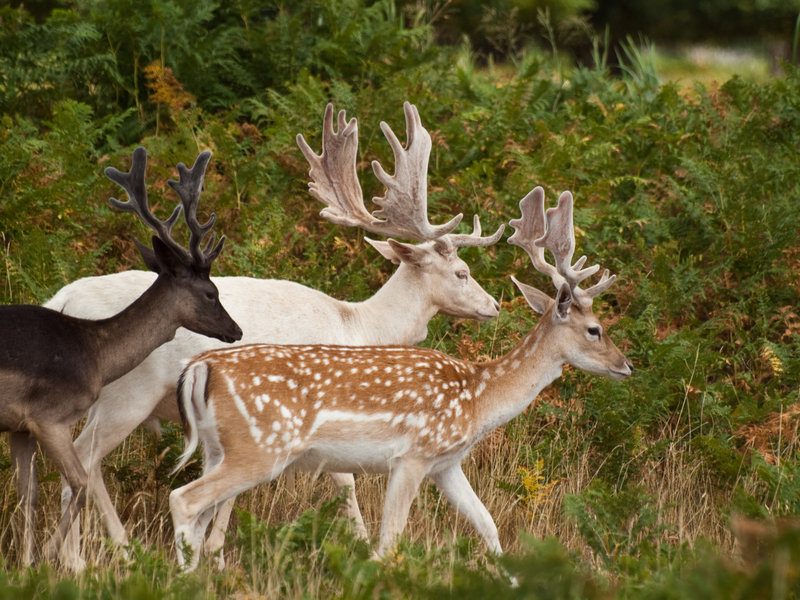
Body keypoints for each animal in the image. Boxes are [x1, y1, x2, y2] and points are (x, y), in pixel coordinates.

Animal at [0, 147, 242, 567]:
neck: (96, 353)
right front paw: (51, 556)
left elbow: (27, 495)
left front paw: (28, 563)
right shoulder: (48, 417)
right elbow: (79, 483)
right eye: (211, 292)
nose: (236, 330)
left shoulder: (19, 427)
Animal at [45, 102, 504, 570]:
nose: (495, 305)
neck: (360, 326)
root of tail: (62, 299)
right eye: (462, 272)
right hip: (125, 395)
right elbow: (344, 480)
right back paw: (88, 556)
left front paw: (214, 550)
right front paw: (359, 544)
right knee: (83, 462)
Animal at [167, 185, 634, 571]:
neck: (478, 398)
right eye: (595, 329)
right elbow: (388, 541)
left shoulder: (447, 464)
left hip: (217, 448)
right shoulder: (413, 454)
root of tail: (200, 368)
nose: (627, 366)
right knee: (184, 499)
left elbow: (488, 525)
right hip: (261, 447)